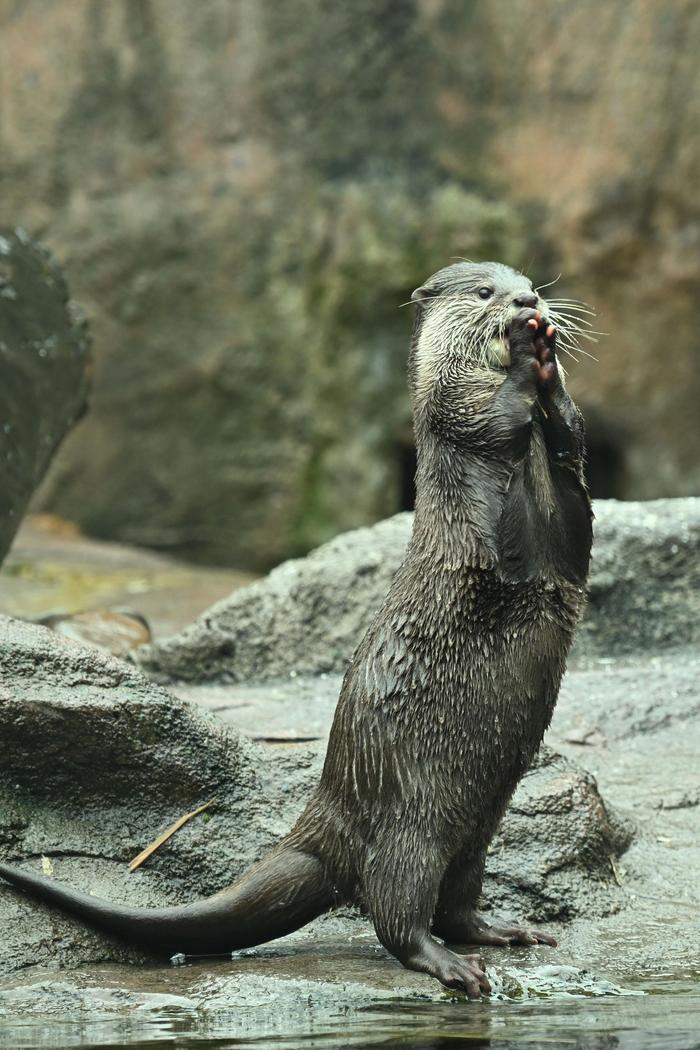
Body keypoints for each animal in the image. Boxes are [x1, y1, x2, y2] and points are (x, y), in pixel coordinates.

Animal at [0, 264, 591, 999]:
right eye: (485, 291)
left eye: (526, 280)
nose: (529, 303)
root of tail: (326, 818)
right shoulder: (472, 476)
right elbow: (490, 433)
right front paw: (524, 366)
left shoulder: (563, 537)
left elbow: (571, 480)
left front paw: (551, 369)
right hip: (409, 821)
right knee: (397, 912)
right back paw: (450, 965)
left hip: (475, 832)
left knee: (455, 903)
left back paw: (503, 932)